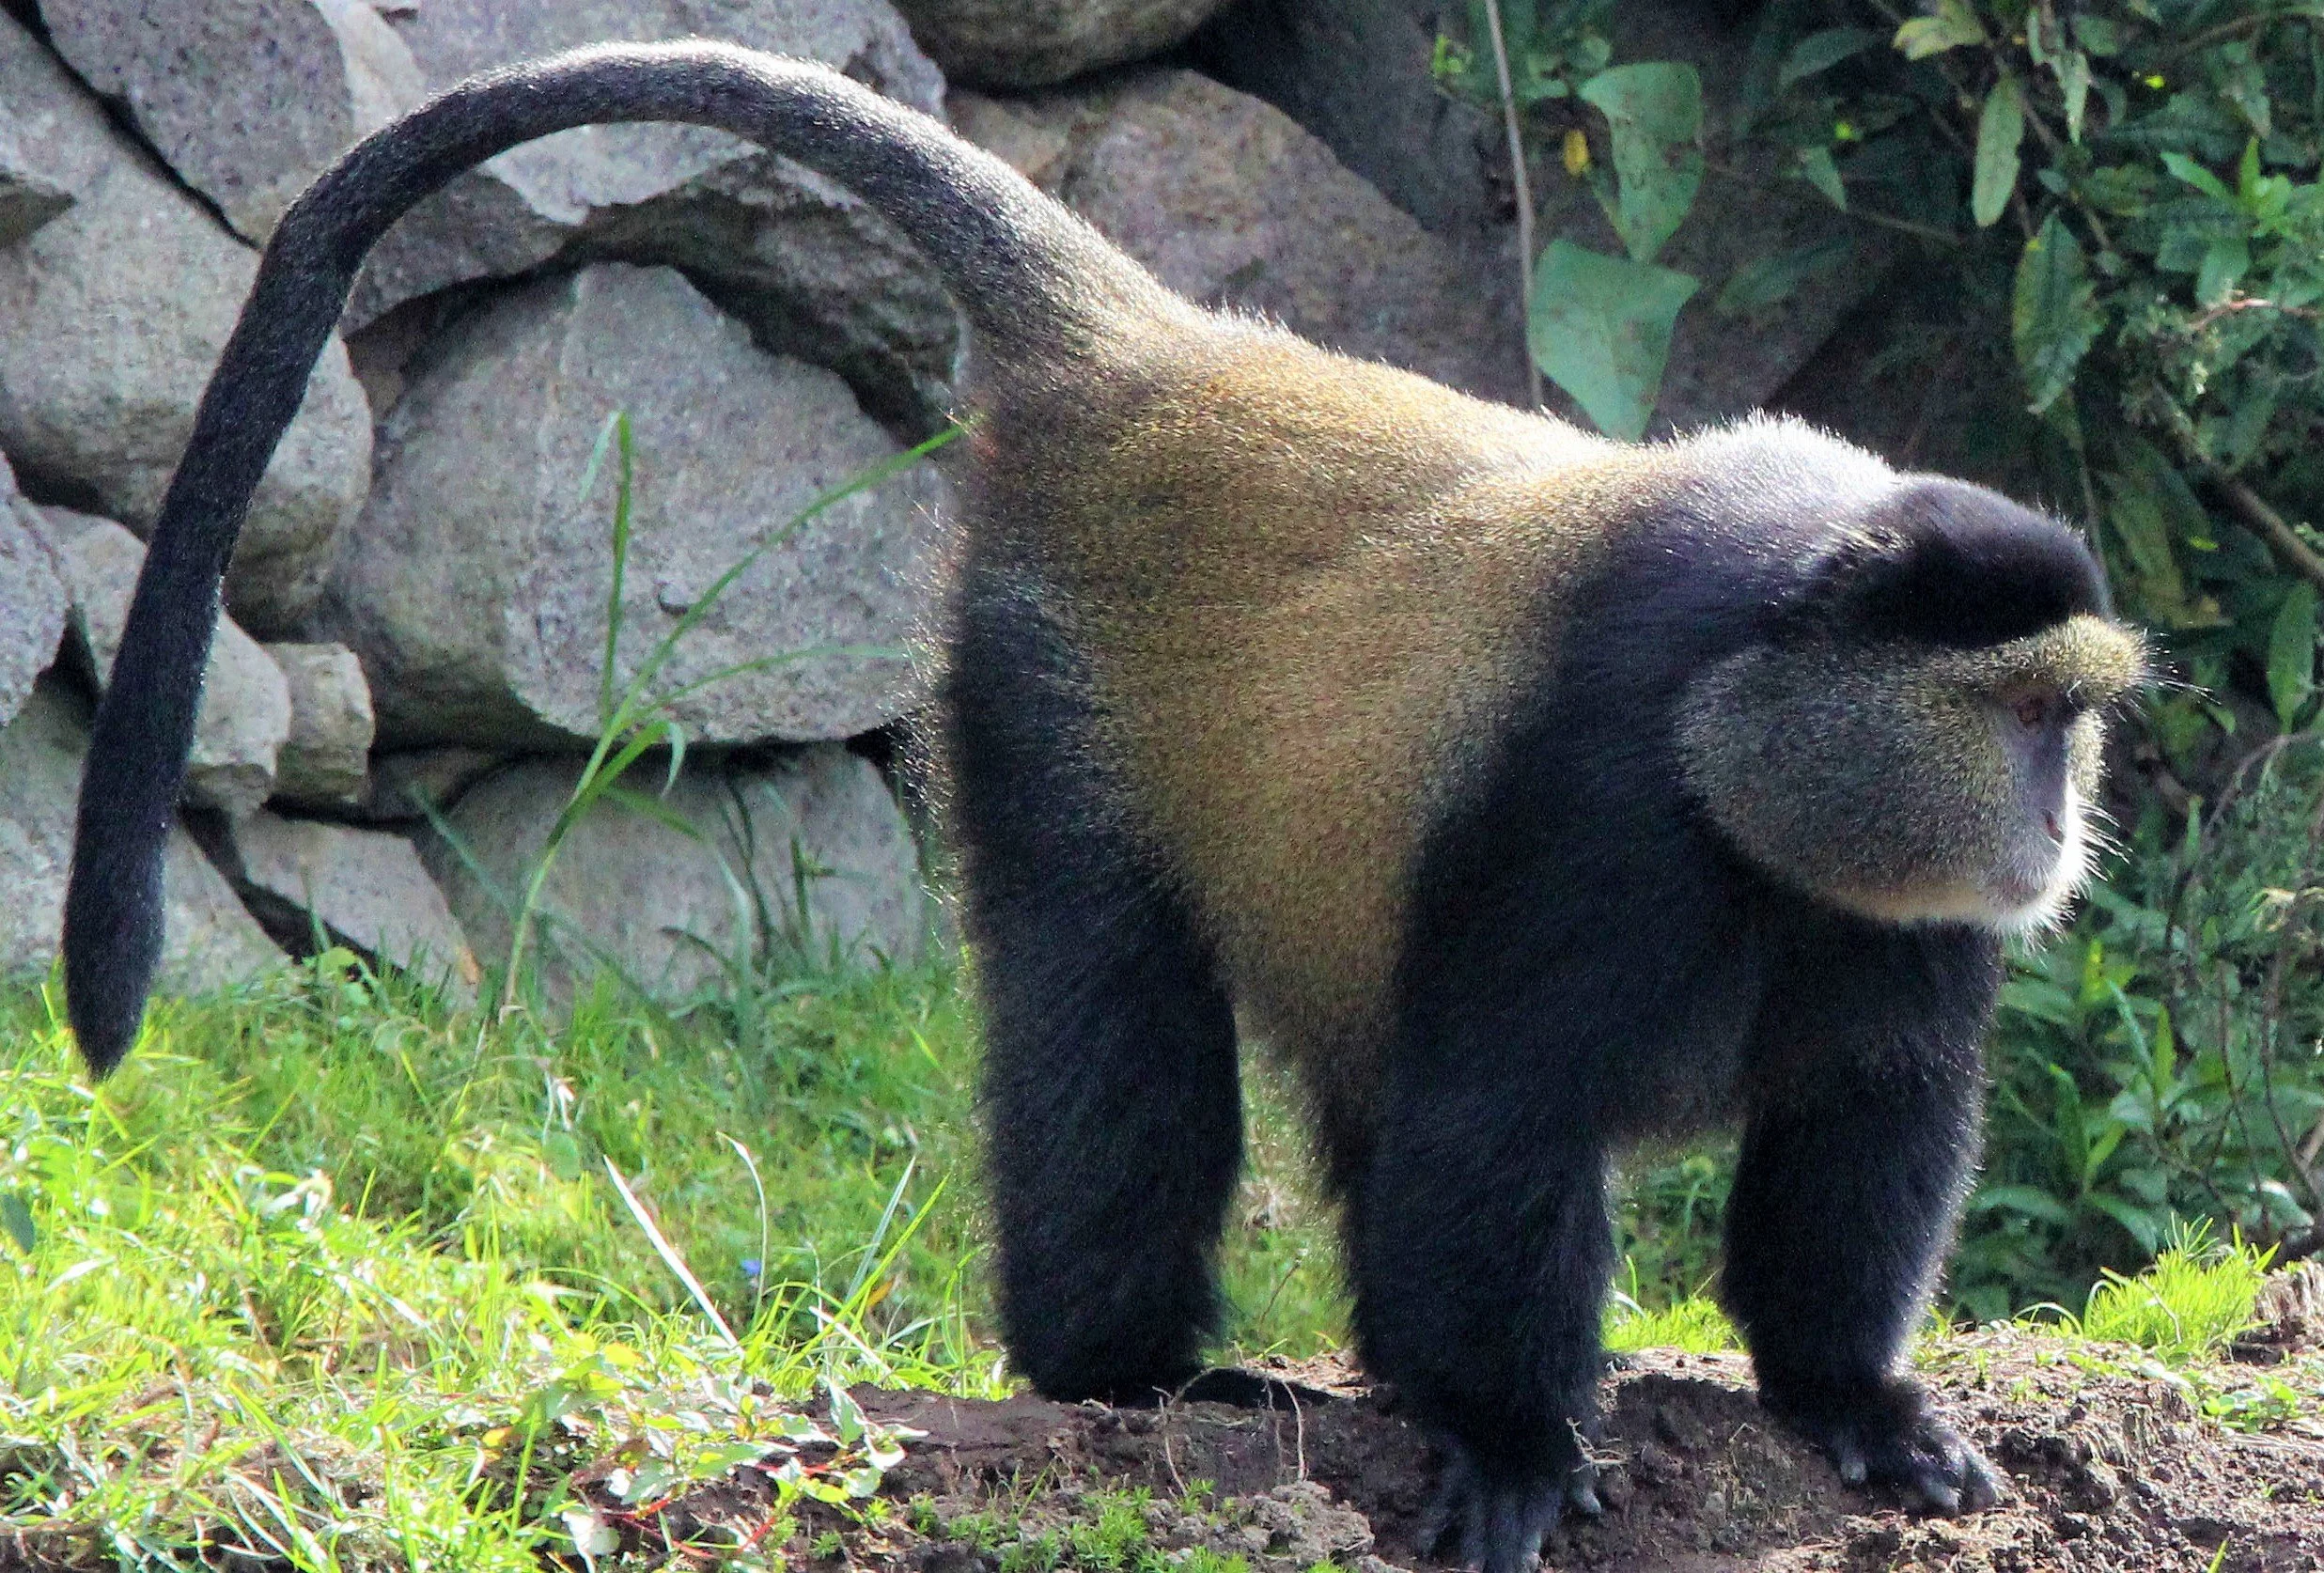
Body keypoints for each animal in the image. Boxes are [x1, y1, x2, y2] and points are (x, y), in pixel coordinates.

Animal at [58, 42, 2149, 1573]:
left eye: (2073, 720)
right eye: (2018, 716)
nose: (2050, 830)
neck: (1754, 754)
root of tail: (1162, 358)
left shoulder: (1891, 918)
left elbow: (1862, 1117)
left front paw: (1851, 1402)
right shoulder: (1601, 804)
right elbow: (1498, 1113)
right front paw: (1508, 1440)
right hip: (1038, 679)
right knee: (1112, 1024)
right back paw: (1123, 1370)